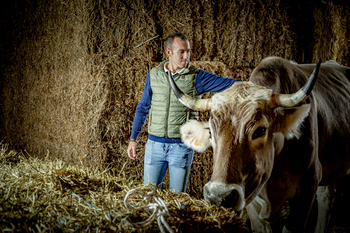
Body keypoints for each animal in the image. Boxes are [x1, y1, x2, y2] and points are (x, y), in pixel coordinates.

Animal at [167, 57, 350, 233]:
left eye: (260, 130)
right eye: (211, 132)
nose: (218, 196)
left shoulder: (308, 186)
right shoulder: (251, 197)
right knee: (327, 196)